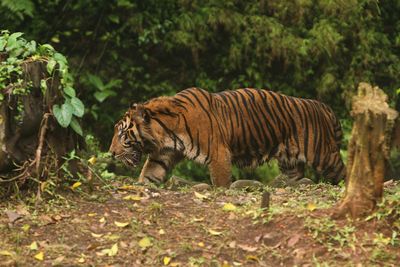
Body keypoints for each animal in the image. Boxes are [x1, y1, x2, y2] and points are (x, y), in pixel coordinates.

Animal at [108, 88, 346, 188]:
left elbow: (221, 182)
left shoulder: (219, 154)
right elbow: (149, 173)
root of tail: (322, 106)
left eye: (122, 134)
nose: (110, 153)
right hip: (290, 162)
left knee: (342, 170)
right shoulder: (163, 155)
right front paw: (141, 186)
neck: (167, 133)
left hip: (323, 154)